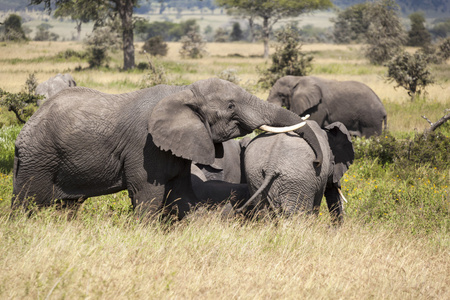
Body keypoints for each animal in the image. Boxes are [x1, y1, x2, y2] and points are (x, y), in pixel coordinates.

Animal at [12, 78, 326, 219]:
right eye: (230, 107)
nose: (318, 162)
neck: (184, 91)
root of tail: (26, 126)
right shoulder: (145, 147)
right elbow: (148, 193)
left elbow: (182, 193)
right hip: (39, 158)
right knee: (29, 201)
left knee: (66, 206)